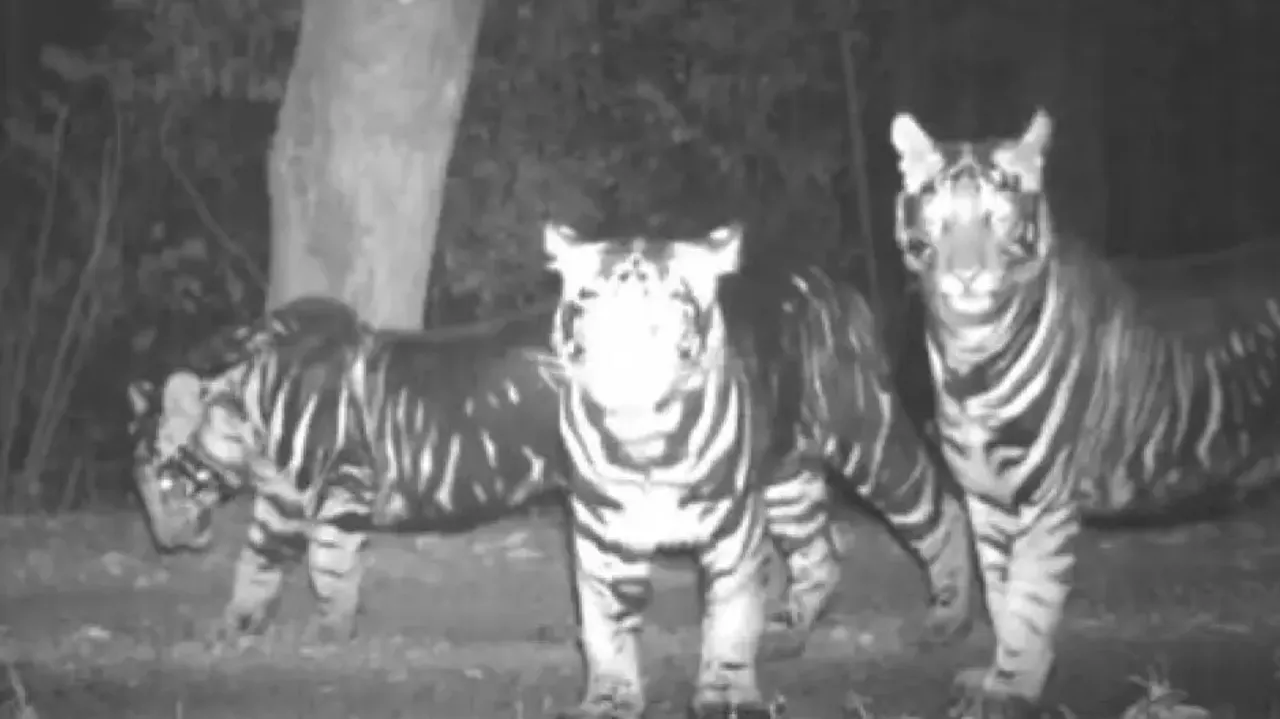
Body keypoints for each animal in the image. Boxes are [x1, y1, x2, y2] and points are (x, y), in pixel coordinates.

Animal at [539, 223, 977, 719]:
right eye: (590, 298)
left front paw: (726, 695)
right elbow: (605, 628)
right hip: (788, 484)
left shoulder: (733, 528)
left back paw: (948, 617)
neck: (642, 438)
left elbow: (730, 615)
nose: (624, 351)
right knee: (818, 555)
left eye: (673, 300)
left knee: (943, 511)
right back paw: (786, 631)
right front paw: (610, 700)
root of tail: (833, 283)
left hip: (872, 442)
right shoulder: (603, 536)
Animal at [889, 108, 1280, 718]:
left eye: (997, 218)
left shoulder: (1045, 498)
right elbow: (1000, 592)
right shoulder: (986, 497)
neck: (968, 356)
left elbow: (1028, 599)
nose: (967, 275)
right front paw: (998, 676)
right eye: (939, 216)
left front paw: (1013, 688)